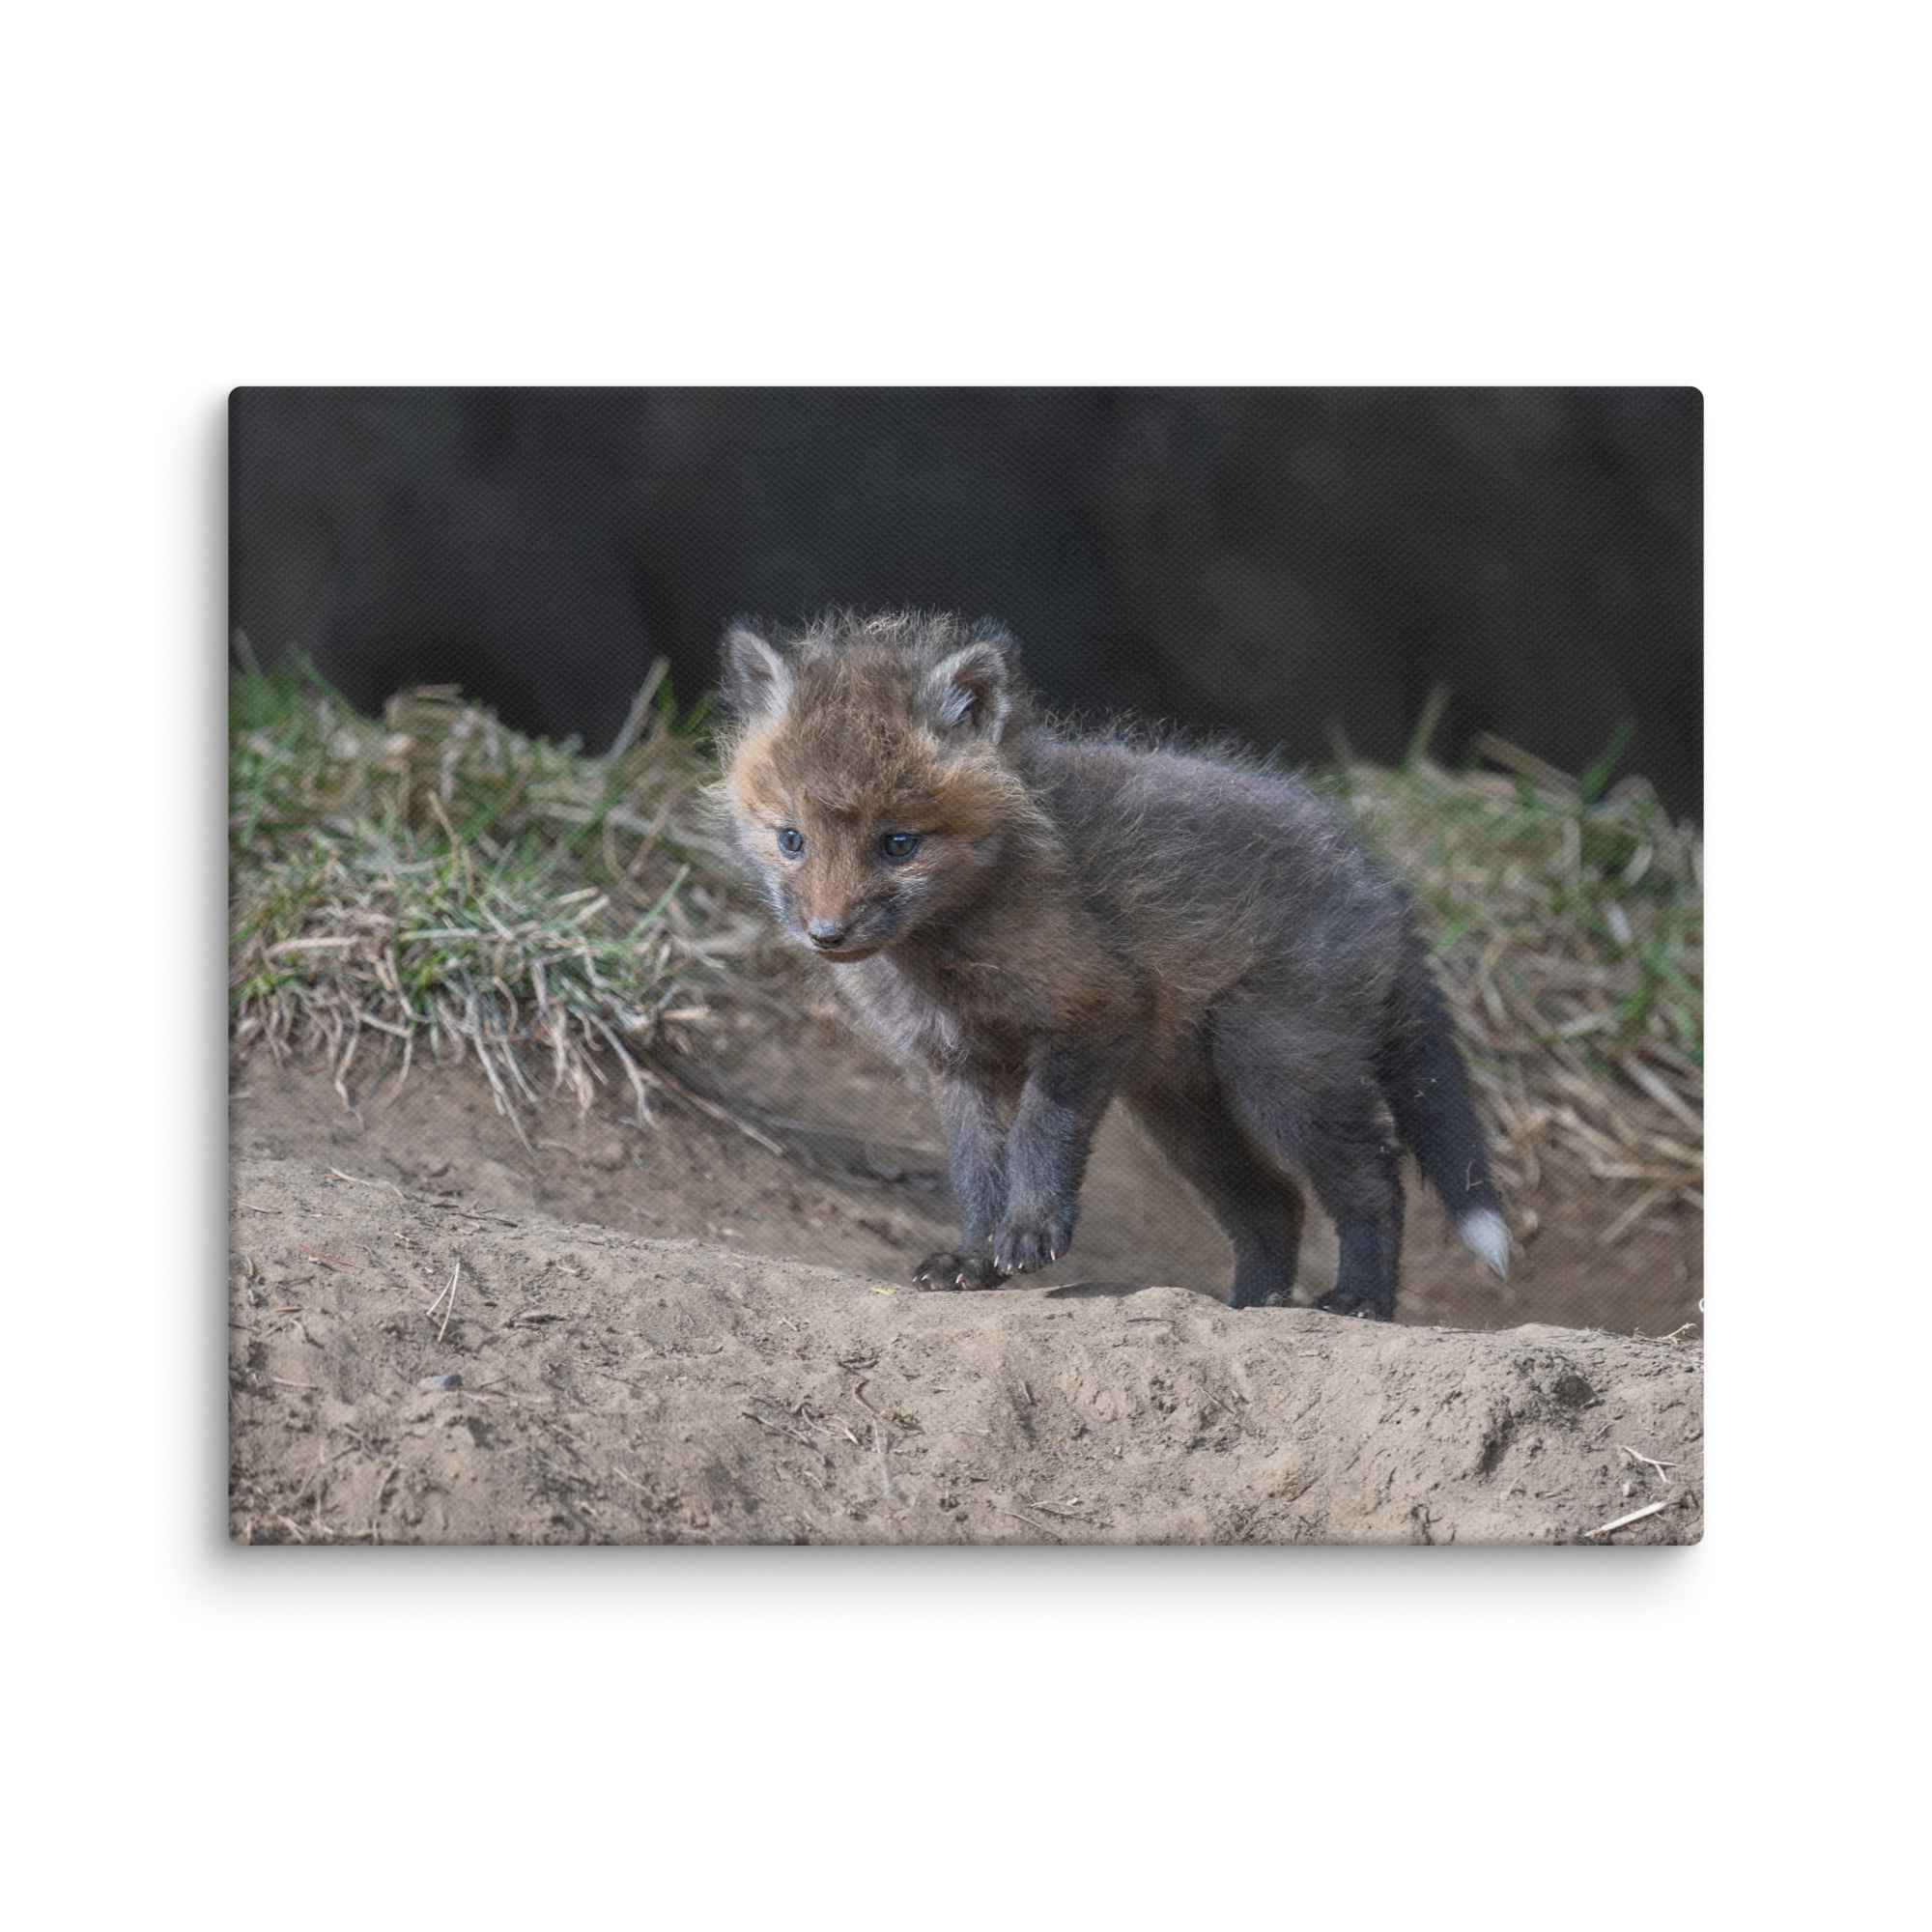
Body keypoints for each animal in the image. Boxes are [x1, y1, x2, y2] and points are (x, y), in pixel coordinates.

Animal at [716, 609, 1509, 1320]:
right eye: (791, 840)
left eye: (898, 844)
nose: (826, 934)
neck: (946, 957)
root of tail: (1380, 880)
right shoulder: (957, 1064)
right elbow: (977, 1174)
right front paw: (974, 1258)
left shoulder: (1092, 1011)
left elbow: (1040, 1136)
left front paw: (1030, 1233)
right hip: (1183, 1113)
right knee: (1274, 1205)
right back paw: (1251, 1306)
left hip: (1278, 1074)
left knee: (1375, 1179)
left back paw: (1360, 1299)